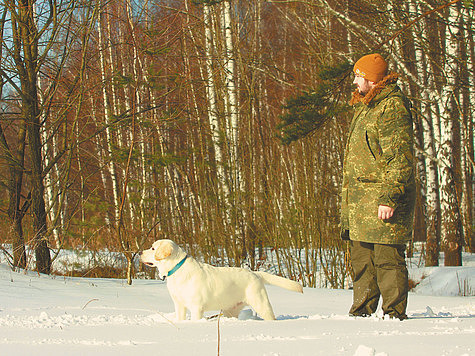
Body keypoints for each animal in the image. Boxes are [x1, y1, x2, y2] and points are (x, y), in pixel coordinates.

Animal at [140, 239, 304, 320]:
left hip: (261, 303)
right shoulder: (179, 305)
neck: (177, 268)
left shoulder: (196, 307)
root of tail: (256, 274)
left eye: (153, 248)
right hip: (230, 310)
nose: (140, 252)